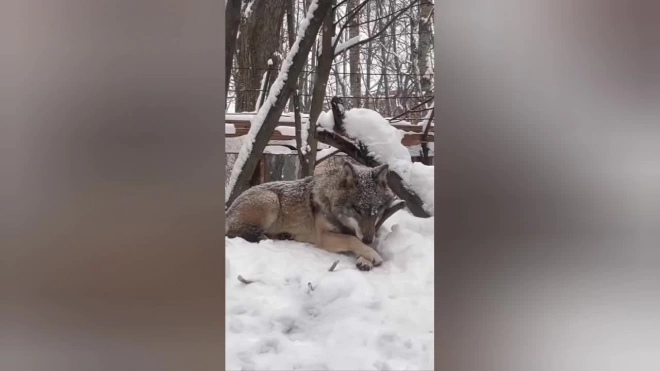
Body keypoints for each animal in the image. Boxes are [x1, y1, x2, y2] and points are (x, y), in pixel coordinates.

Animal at [224, 161, 394, 272]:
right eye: (357, 209)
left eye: (376, 210)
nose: (368, 239)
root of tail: (228, 210)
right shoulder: (323, 236)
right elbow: (351, 239)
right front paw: (373, 255)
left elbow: (360, 240)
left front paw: (366, 258)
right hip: (271, 200)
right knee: (237, 233)